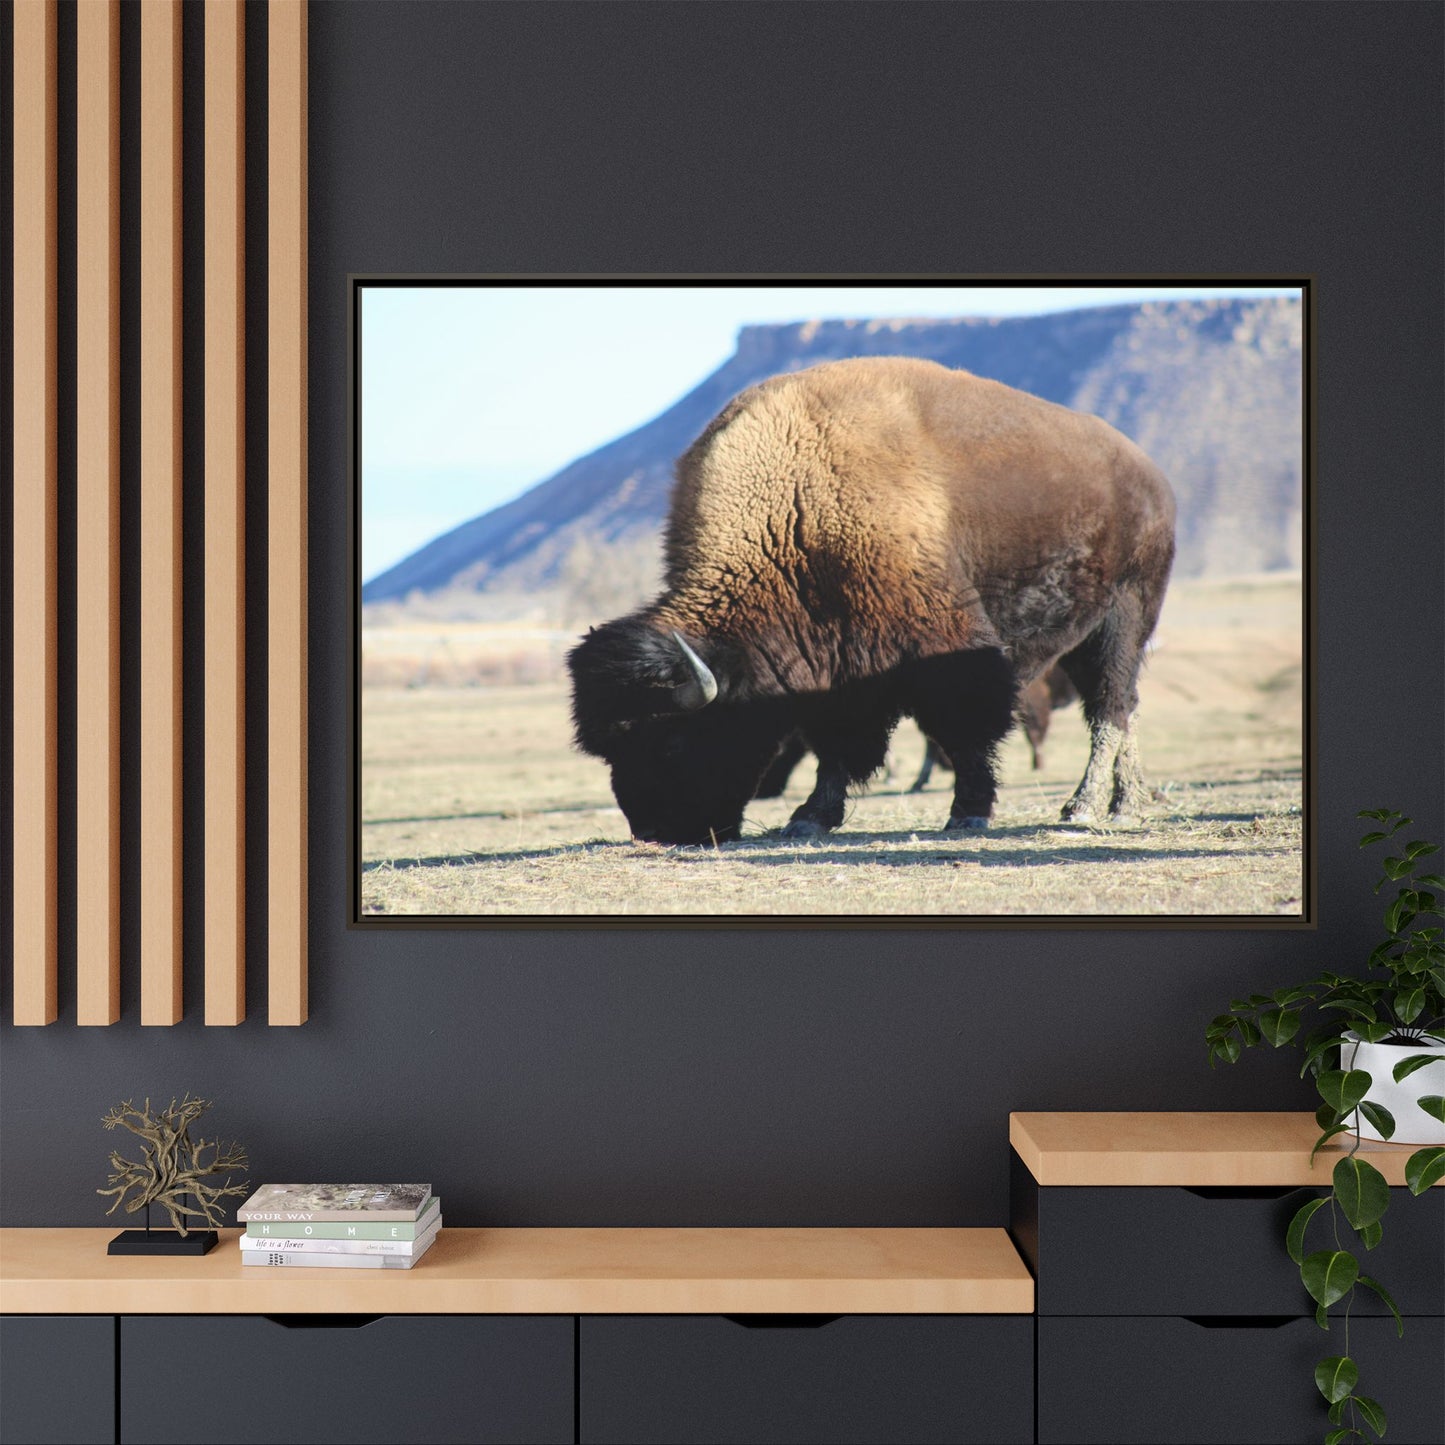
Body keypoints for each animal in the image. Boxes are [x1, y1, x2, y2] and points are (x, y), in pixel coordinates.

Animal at [567, 356, 1175, 845]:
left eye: (670, 740)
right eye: (610, 750)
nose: (655, 830)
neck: (795, 509)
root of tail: (1149, 475)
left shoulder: (946, 649)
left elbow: (966, 730)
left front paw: (968, 813)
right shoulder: (834, 667)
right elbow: (836, 745)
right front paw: (809, 818)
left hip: (1125, 617)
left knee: (1110, 707)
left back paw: (1089, 808)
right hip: (1084, 636)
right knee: (1121, 707)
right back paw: (1126, 802)